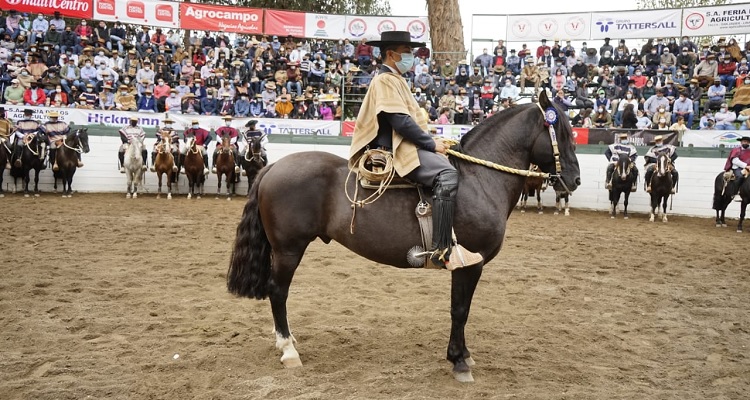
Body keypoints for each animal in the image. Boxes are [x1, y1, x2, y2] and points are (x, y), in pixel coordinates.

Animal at [226, 92, 584, 382]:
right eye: (564, 133)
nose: (575, 179)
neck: (478, 179)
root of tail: (272, 168)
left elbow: (462, 309)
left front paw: (464, 356)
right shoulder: (469, 264)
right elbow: (460, 310)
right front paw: (459, 361)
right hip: (289, 249)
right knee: (278, 291)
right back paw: (288, 349)